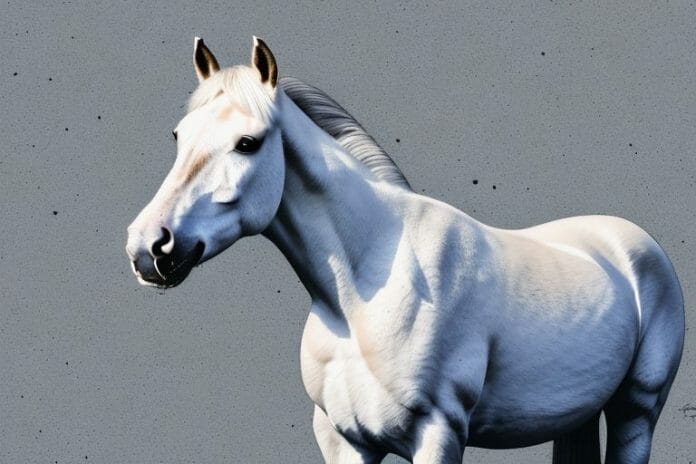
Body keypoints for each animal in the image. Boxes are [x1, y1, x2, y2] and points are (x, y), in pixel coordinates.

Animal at [125, 37, 685, 463]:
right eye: (179, 135)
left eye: (247, 142)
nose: (148, 245)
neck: (363, 296)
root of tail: (635, 244)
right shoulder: (345, 442)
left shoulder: (437, 435)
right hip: (576, 416)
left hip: (636, 411)